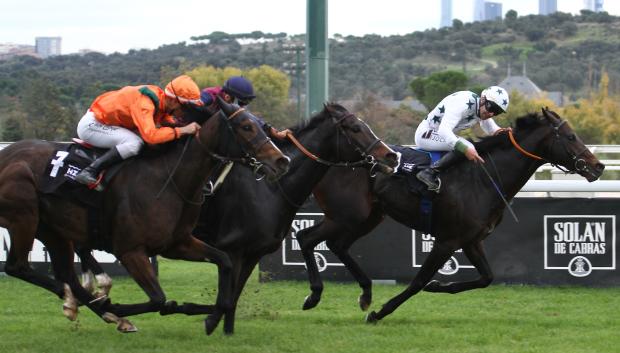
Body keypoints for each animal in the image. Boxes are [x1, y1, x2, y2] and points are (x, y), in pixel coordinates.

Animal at [0, 97, 290, 332]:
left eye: (263, 125)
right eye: (246, 126)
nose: (282, 160)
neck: (170, 179)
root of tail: (7, 153)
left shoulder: (178, 243)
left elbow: (225, 265)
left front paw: (208, 313)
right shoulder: (130, 251)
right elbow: (158, 299)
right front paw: (118, 306)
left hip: (52, 228)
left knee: (64, 272)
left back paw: (94, 307)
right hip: (24, 215)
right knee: (17, 266)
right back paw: (93, 304)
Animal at [296, 108, 604, 324]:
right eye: (571, 137)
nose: (598, 166)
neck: (483, 178)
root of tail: (330, 159)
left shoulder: (472, 240)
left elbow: (486, 278)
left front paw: (438, 285)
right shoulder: (447, 240)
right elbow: (417, 281)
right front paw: (381, 312)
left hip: (368, 216)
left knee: (334, 244)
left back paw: (363, 292)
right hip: (347, 215)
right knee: (306, 236)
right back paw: (316, 295)